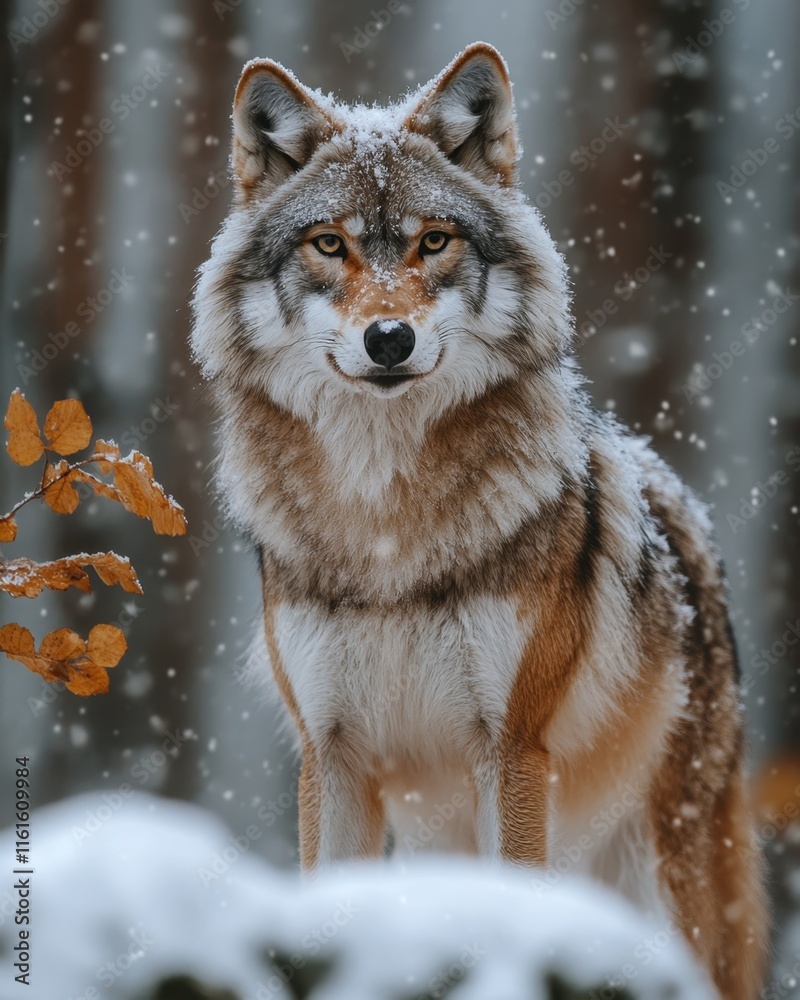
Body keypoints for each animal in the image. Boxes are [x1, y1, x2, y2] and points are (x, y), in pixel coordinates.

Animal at [191, 43, 768, 999]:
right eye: (328, 243)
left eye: (434, 240)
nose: (389, 338)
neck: (386, 528)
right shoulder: (331, 755)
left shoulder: (514, 750)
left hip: (677, 877)